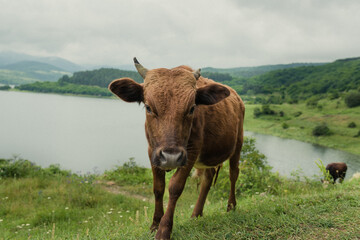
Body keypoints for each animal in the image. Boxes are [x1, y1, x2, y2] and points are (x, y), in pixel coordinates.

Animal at [109, 58, 245, 240]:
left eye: (192, 108)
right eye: (148, 107)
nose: (171, 157)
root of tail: (237, 98)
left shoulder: (191, 152)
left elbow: (175, 187)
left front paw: (164, 230)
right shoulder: (153, 151)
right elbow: (158, 188)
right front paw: (155, 224)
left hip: (238, 144)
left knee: (233, 174)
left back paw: (231, 206)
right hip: (207, 158)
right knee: (207, 179)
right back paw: (196, 214)